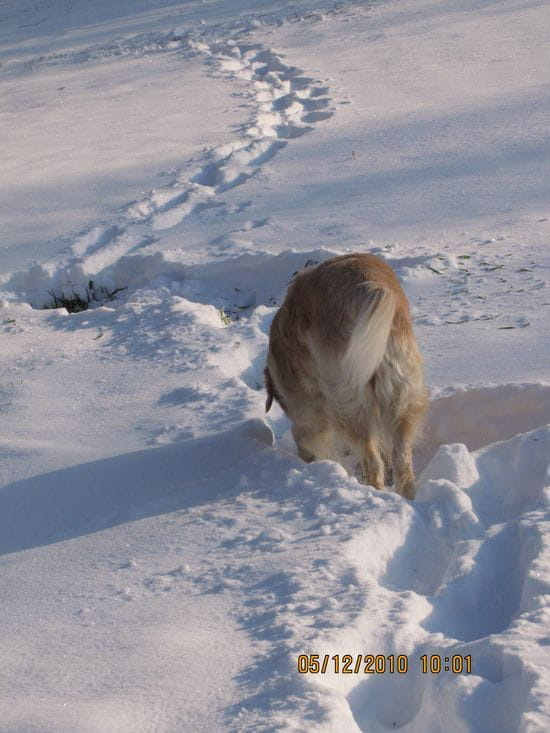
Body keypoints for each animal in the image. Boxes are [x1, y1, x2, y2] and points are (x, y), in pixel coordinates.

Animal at [266, 252, 430, 498]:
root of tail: (367, 287)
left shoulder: (308, 407)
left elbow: (303, 436)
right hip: (401, 396)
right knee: (401, 461)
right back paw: (409, 498)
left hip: (347, 403)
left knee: (372, 461)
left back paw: (374, 491)